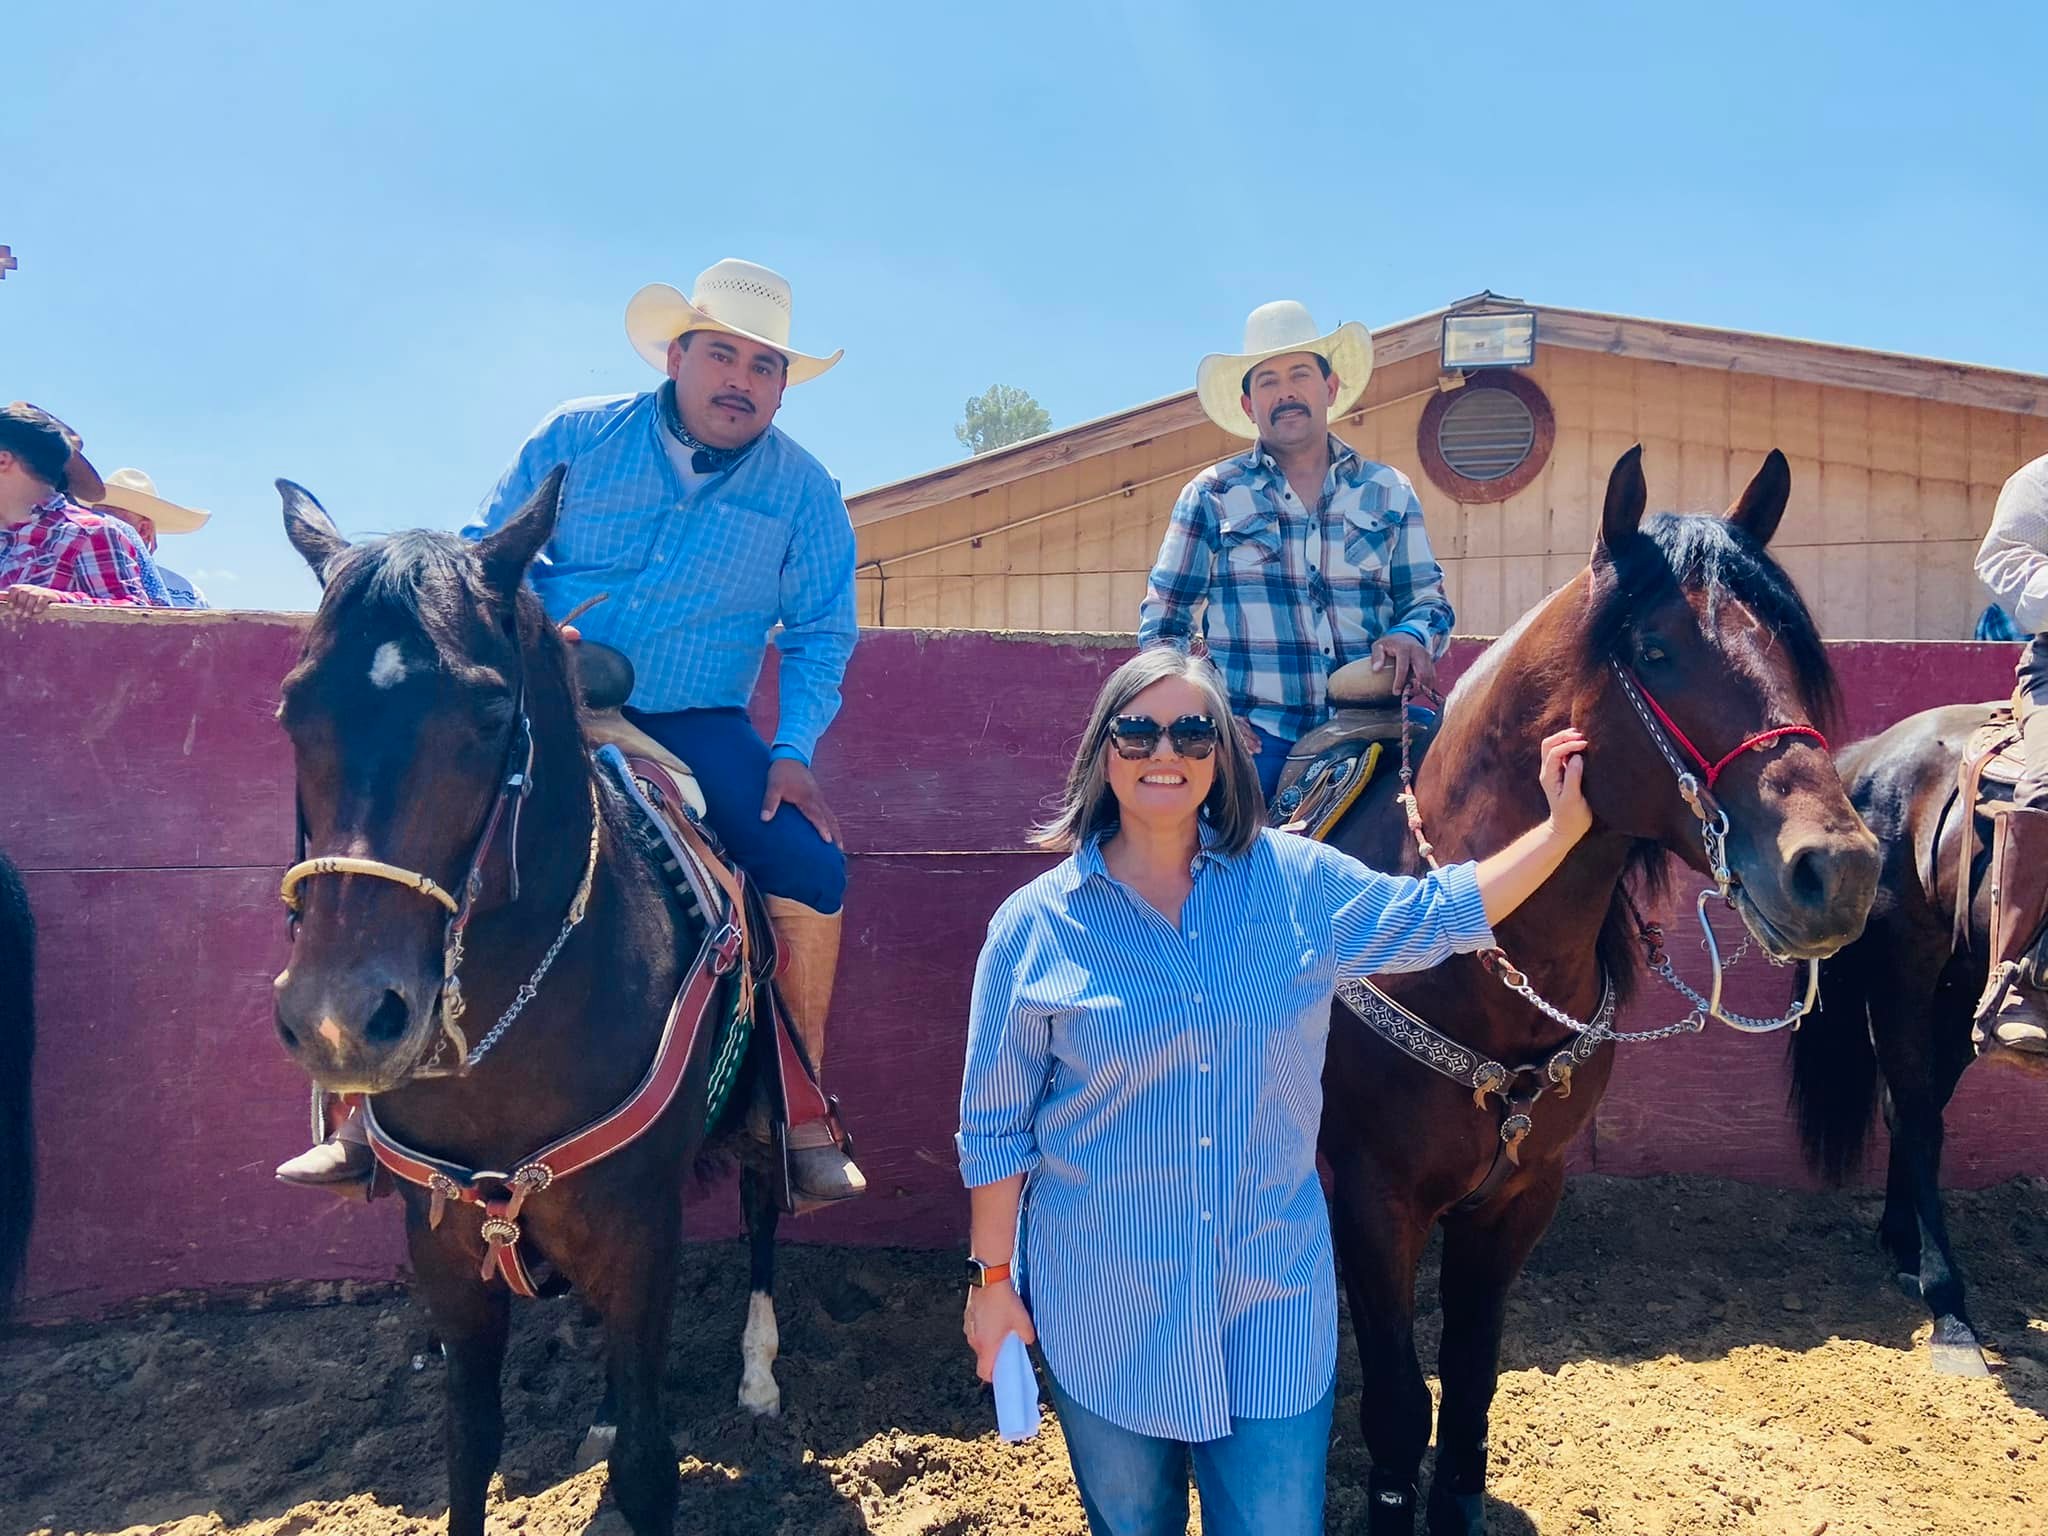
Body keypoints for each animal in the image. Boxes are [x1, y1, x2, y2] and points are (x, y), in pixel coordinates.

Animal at [272, 473, 782, 1536]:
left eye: (486, 709)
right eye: (294, 711)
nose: (341, 1017)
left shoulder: (639, 1235)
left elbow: (649, 1465)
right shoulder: (445, 1254)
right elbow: (470, 1445)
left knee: (763, 1208)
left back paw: (759, 1374)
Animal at [1318, 450, 1875, 1531]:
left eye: (1793, 652)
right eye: (1654, 650)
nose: (1837, 868)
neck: (1461, 953)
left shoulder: (1519, 1198)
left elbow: (1471, 1371)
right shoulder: (1370, 1194)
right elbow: (1400, 1396)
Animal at [1785, 704, 2039, 1376]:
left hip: (1963, 981)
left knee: (1914, 1104)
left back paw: (1904, 1246)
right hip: (1905, 971)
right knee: (1918, 1114)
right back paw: (1948, 1311)